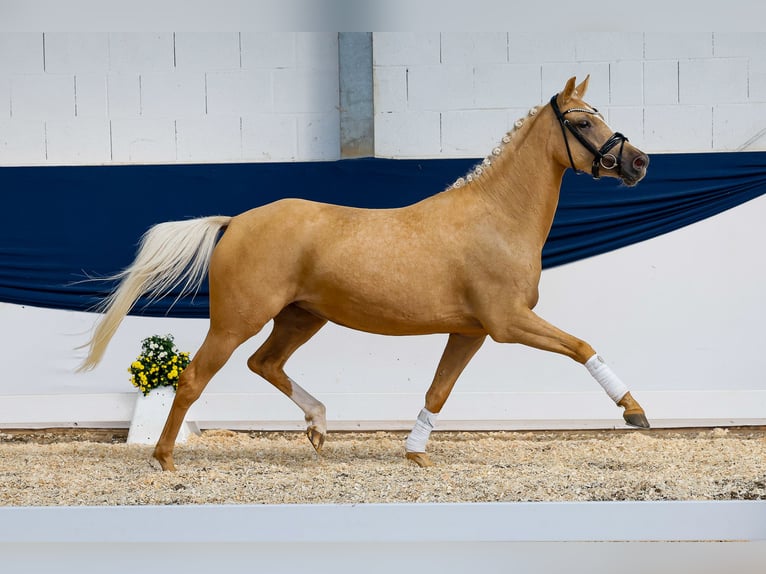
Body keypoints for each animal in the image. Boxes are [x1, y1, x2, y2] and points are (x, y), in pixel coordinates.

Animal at [79, 77, 648, 472]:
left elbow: (437, 392)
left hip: (301, 318)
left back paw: (318, 426)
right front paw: (633, 411)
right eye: (581, 123)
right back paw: (165, 459)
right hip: (236, 321)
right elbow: (581, 346)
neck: (495, 217)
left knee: (264, 363)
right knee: (195, 377)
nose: (639, 162)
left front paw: (415, 453)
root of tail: (235, 221)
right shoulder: (507, 323)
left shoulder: (471, 330)